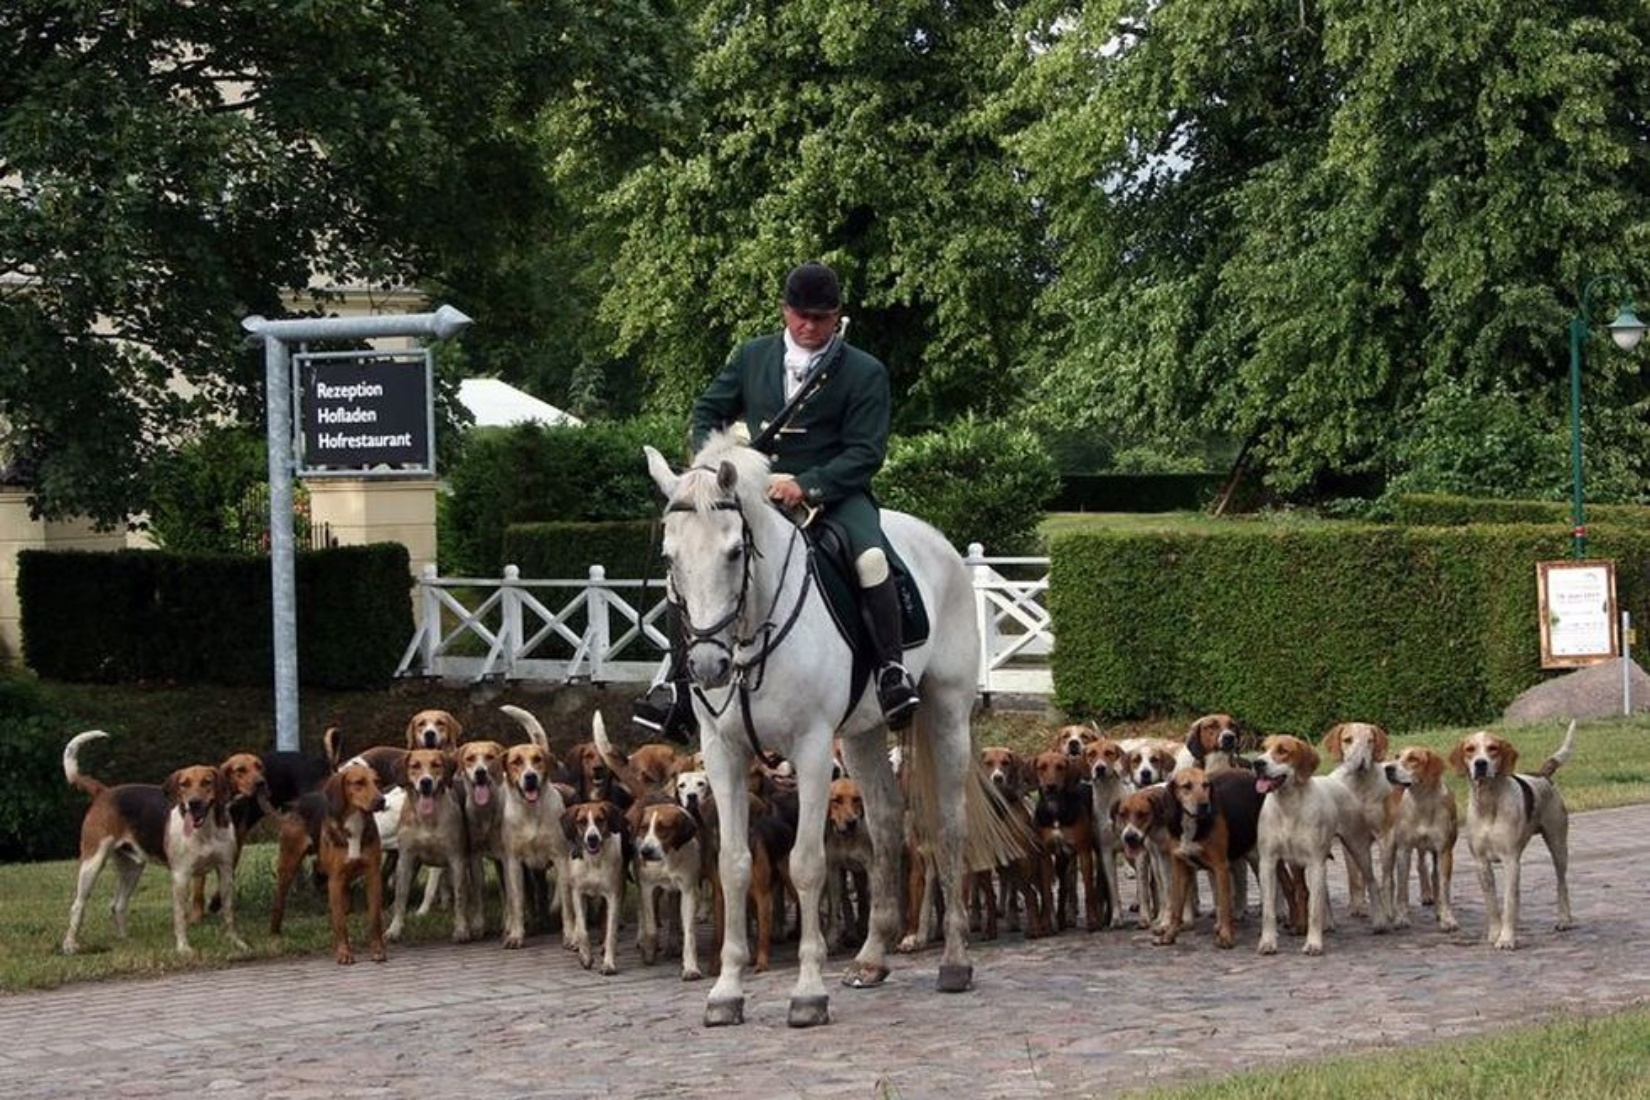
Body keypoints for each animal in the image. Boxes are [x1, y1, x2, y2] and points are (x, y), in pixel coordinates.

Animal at [646, 435, 1016, 1029]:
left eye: (734, 552)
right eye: (669, 557)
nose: (706, 665)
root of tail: (938, 543)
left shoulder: (813, 750)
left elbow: (807, 865)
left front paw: (807, 992)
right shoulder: (721, 753)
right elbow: (732, 867)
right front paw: (726, 992)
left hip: (947, 714)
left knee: (950, 827)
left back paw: (955, 962)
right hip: (863, 736)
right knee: (885, 821)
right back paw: (871, 959)